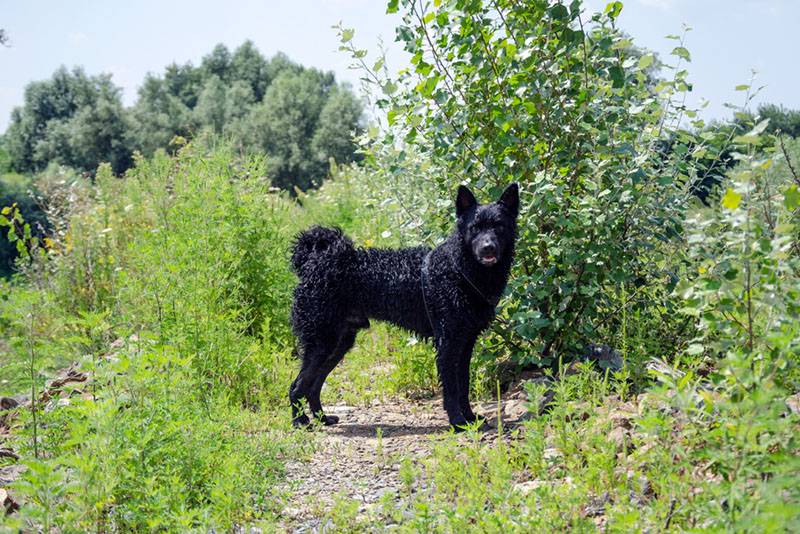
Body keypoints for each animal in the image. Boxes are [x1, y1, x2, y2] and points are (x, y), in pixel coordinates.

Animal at [288, 184, 520, 432]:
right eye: (474, 228)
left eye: (499, 226)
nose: (488, 247)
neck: (457, 268)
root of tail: (314, 264)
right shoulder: (447, 343)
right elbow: (452, 389)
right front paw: (457, 422)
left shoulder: (465, 342)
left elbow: (463, 385)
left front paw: (470, 418)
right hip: (322, 341)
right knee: (297, 385)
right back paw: (300, 422)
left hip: (339, 343)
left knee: (313, 386)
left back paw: (322, 418)